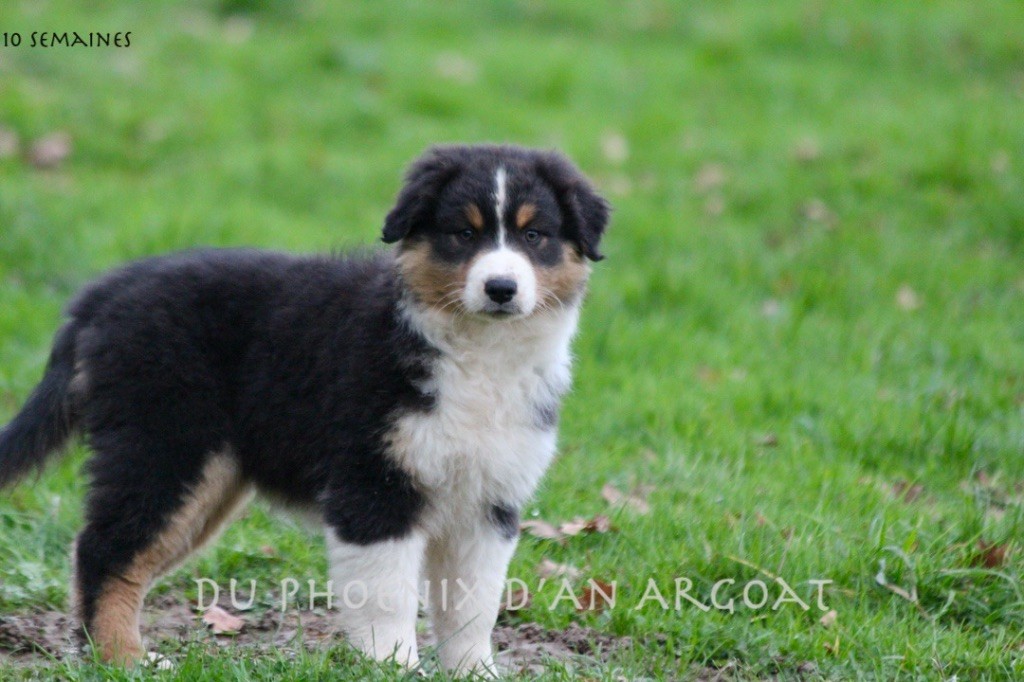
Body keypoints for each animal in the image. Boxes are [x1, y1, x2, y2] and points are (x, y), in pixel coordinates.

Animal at [0, 144, 609, 673]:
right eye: (464, 234)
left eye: (534, 235)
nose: (501, 288)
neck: (478, 353)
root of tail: (99, 296)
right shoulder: (373, 485)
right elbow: (388, 596)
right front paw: (391, 667)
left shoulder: (489, 502)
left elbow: (471, 606)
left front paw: (474, 673)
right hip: (165, 443)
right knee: (103, 550)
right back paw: (124, 661)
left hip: (205, 478)